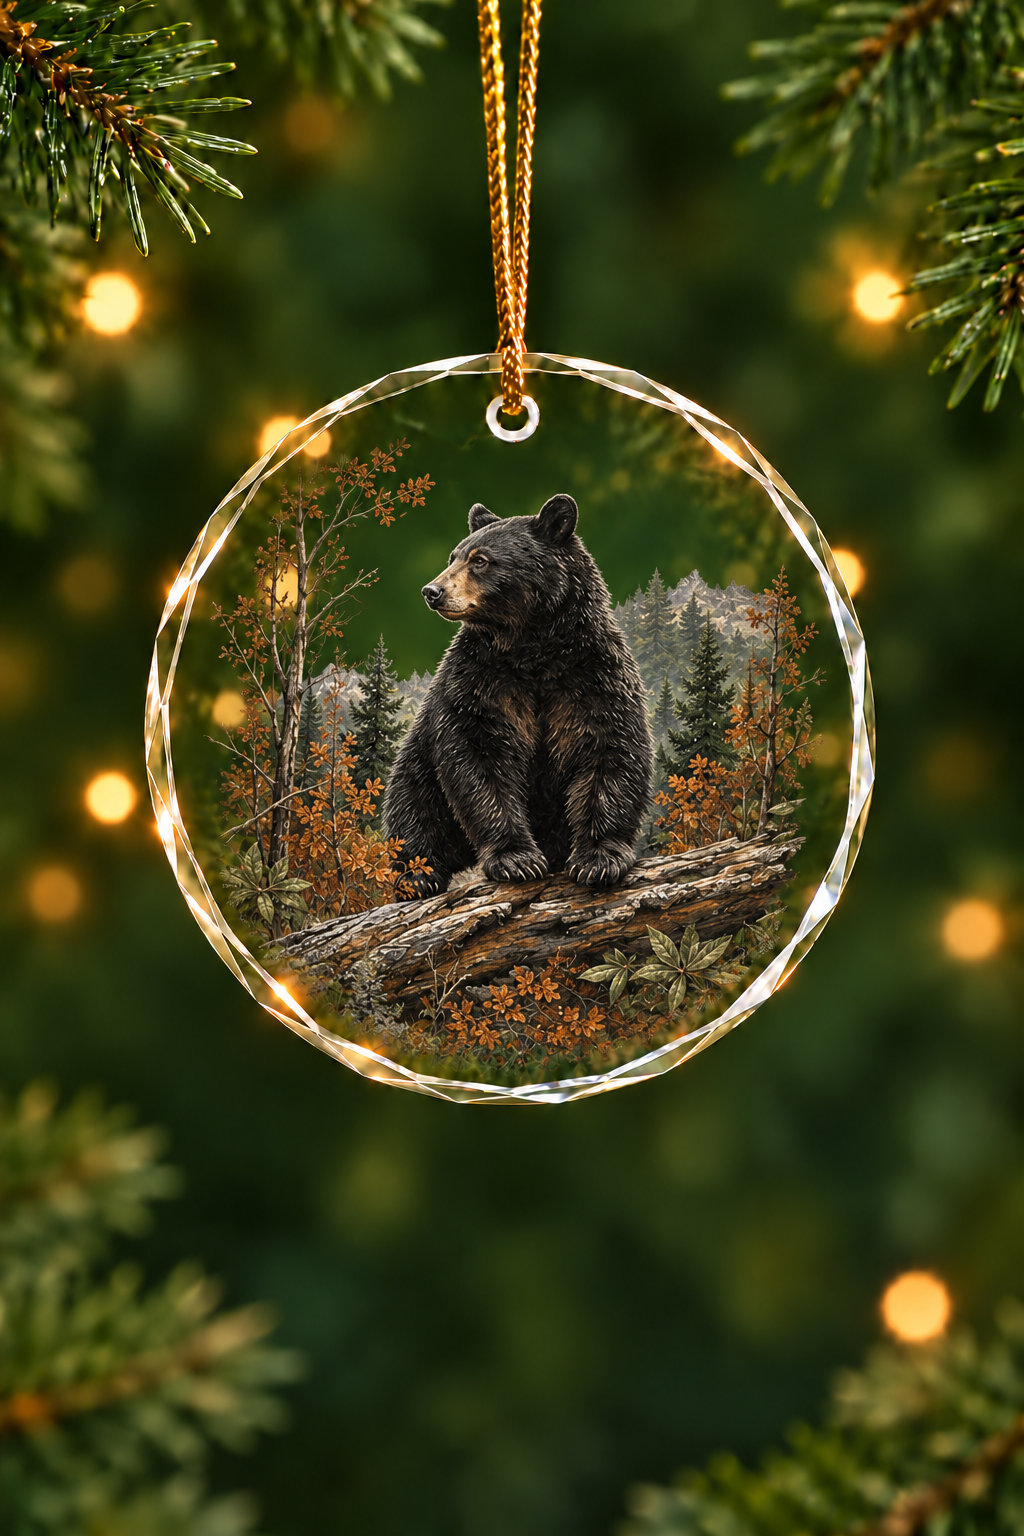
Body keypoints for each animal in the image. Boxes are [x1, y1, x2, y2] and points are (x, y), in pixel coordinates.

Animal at [383, 493, 653, 898]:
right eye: (453, 557)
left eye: (480, 560)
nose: (432, 592)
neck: (531, 647)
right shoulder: (480, 681)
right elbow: (479, 758)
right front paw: (516, 859)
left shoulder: (593, 673)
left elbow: (609, 747)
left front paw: (599, 858)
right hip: (416, 765)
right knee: (411, 807)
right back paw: (418, 873)